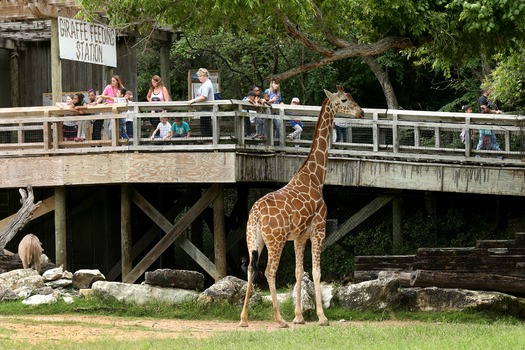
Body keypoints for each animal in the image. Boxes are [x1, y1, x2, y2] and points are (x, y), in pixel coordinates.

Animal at [239, 85, 362, 328]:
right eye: (344, 100)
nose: (361, 112)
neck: (315, 177)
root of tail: (255, 213)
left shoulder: (299, 236)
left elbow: (298, 272)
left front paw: (299, 317)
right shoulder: (318, 230)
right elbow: (315, 271)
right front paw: (322, 317)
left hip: (254, 239)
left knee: (250, 269)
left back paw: (244, 319)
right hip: (275, 240)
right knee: (269, 271)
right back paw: (279, 319)